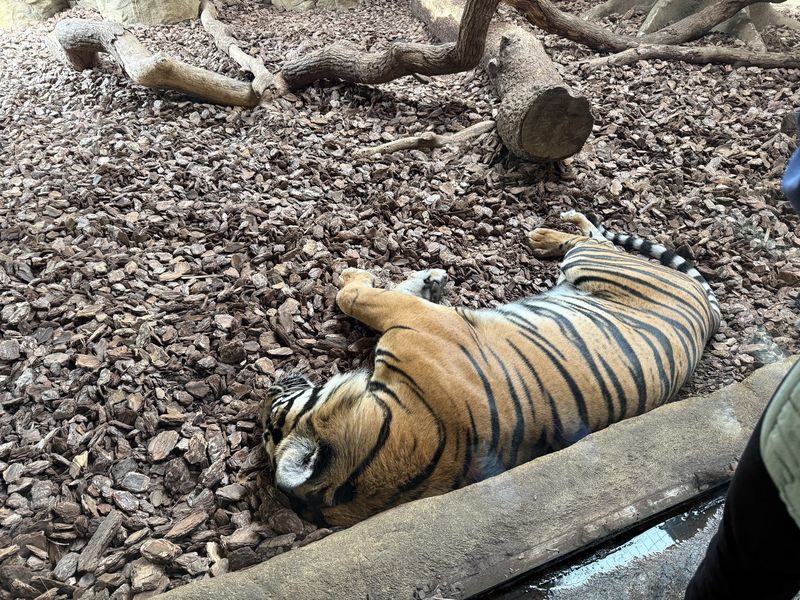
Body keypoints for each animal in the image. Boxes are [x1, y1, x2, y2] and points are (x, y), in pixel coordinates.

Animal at [259, 210, 721, 527]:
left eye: (273, 420)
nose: (271, 388)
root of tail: (707, 313)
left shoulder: (415, 319)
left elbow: (357, 297)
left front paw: (364, 275)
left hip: (593, 264)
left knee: (594, 236)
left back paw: (548, 231)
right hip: (592, 265)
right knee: (596, 237)